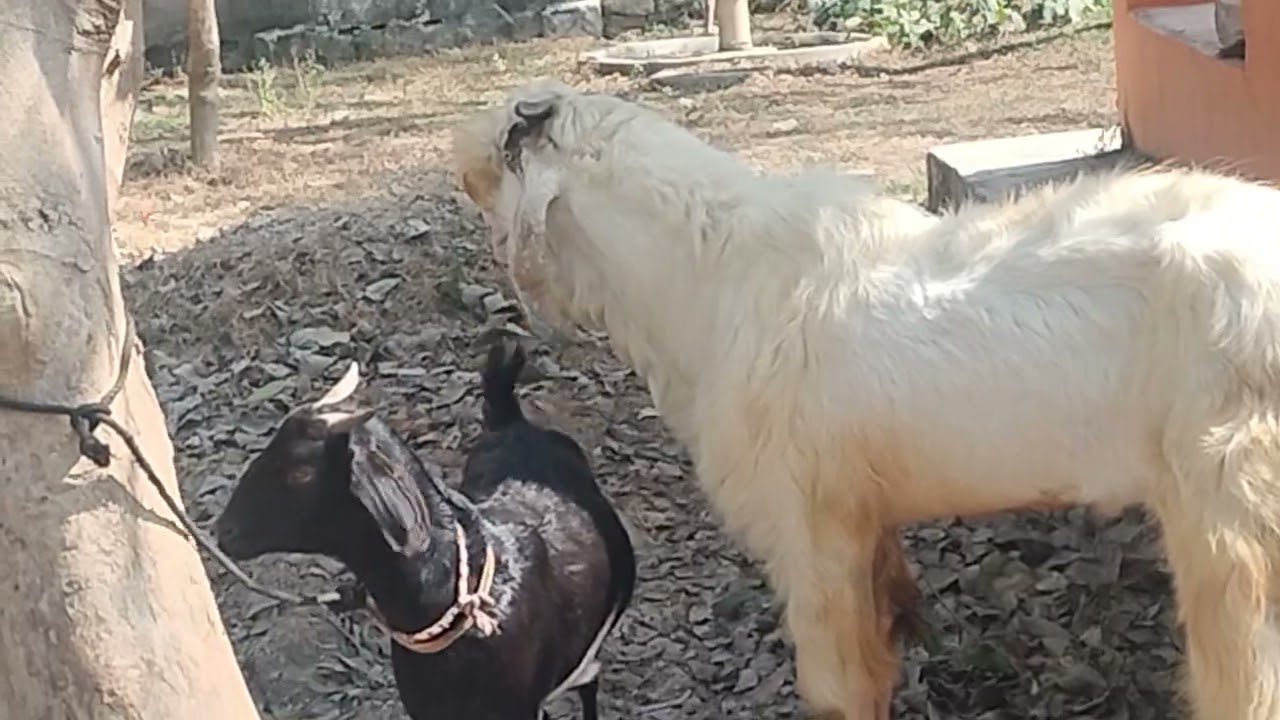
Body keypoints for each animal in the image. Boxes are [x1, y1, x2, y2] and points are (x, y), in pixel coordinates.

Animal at [451, 79, 1280, 720]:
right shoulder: (862, 519)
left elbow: (841, 685)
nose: (461, 167)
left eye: (497, 159)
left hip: (1233, 523)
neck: (710, 273)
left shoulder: (810, 528)